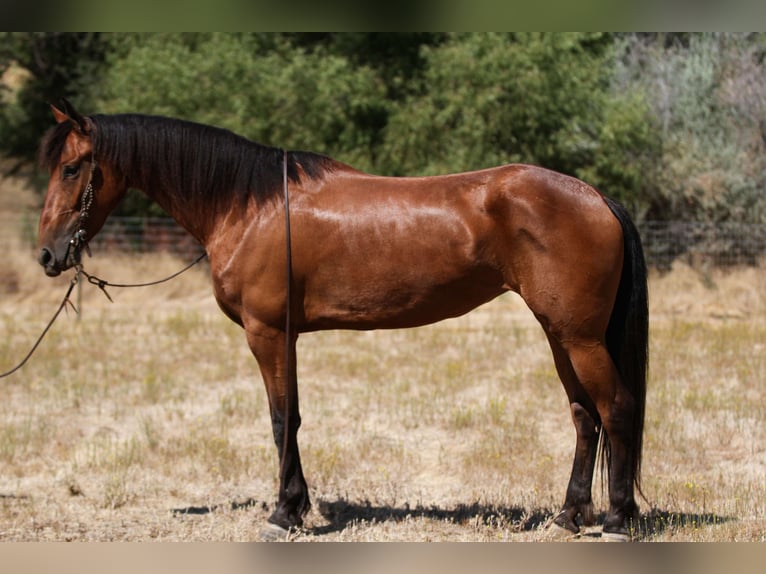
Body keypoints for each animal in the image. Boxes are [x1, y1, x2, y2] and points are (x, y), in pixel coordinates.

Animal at [36, 99, 648, 541]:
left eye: (71, 168)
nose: (47, 255)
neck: (252, 206)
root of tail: (596, 197)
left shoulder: (267, 333)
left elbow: (281, 419)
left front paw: (283, 514)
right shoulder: (286, 338)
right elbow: (293, 419)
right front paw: (298, 506)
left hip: (579, 338)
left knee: (615, 408)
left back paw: (616, 521)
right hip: (560, 334)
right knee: (584, 416)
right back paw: (568, 517)